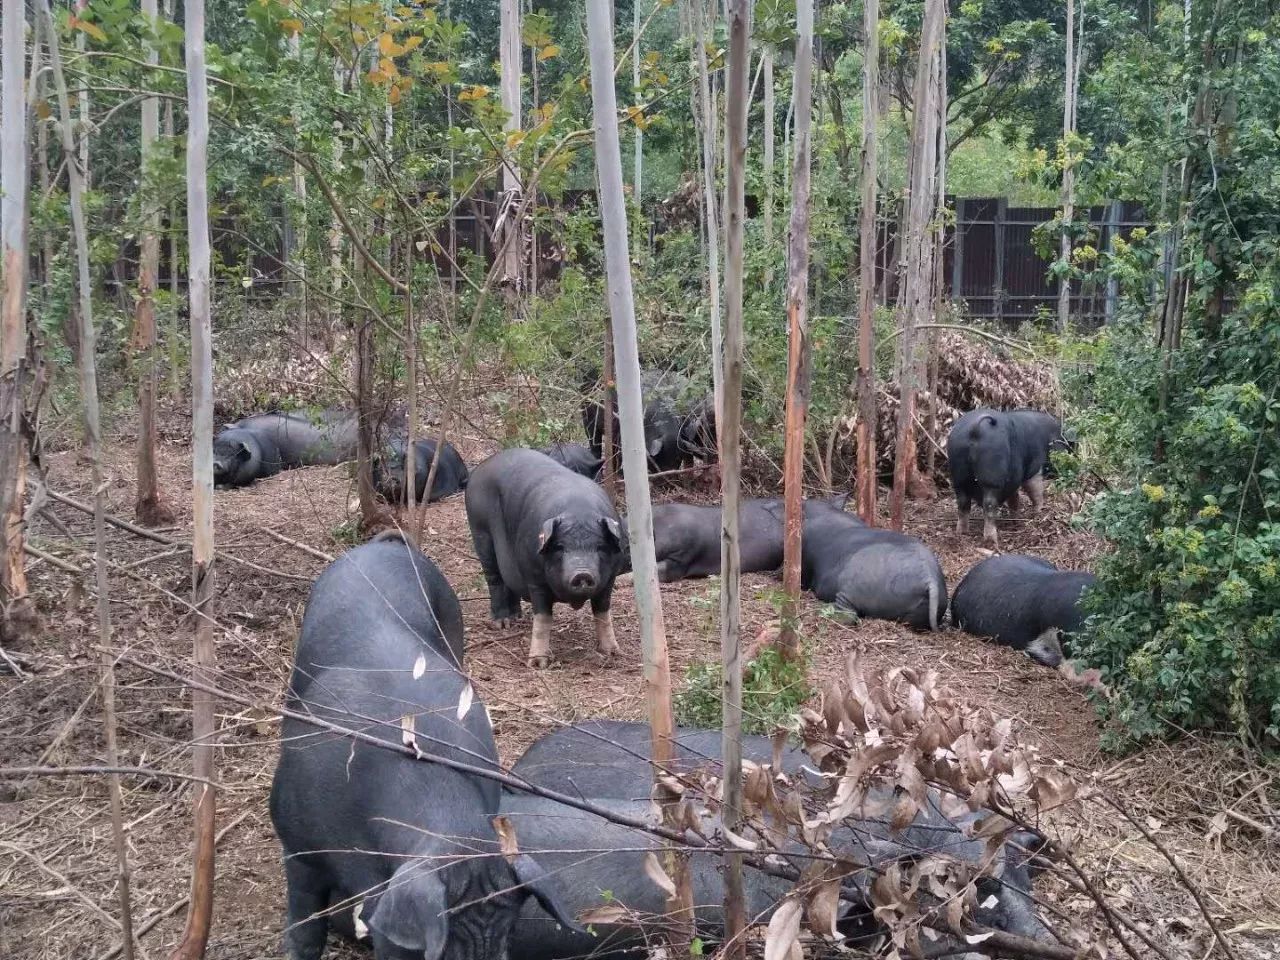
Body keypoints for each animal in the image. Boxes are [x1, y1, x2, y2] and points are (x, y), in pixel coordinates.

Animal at [468, 450, 632, 670]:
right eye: (560, 547)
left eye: (600, 547)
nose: (582, 573)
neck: (578, 511)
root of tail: (482, 466)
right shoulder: (535, 579)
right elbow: (543, 619)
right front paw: (538, 664)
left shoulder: (609, 580)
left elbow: (603, 613)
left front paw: (613, 653)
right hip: (480, 532)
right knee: (494, 579)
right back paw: (501, 623)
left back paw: (515, 618)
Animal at [952, 409, 1070, 547]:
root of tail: (974, 429)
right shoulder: (1033, 469)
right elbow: (1034, 490)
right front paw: (1038, 511)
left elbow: (1015, 497)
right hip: (992, 476)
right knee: (989, 505)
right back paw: (991, 540)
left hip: (958, 476)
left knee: (963, 503)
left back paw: (961, 533)